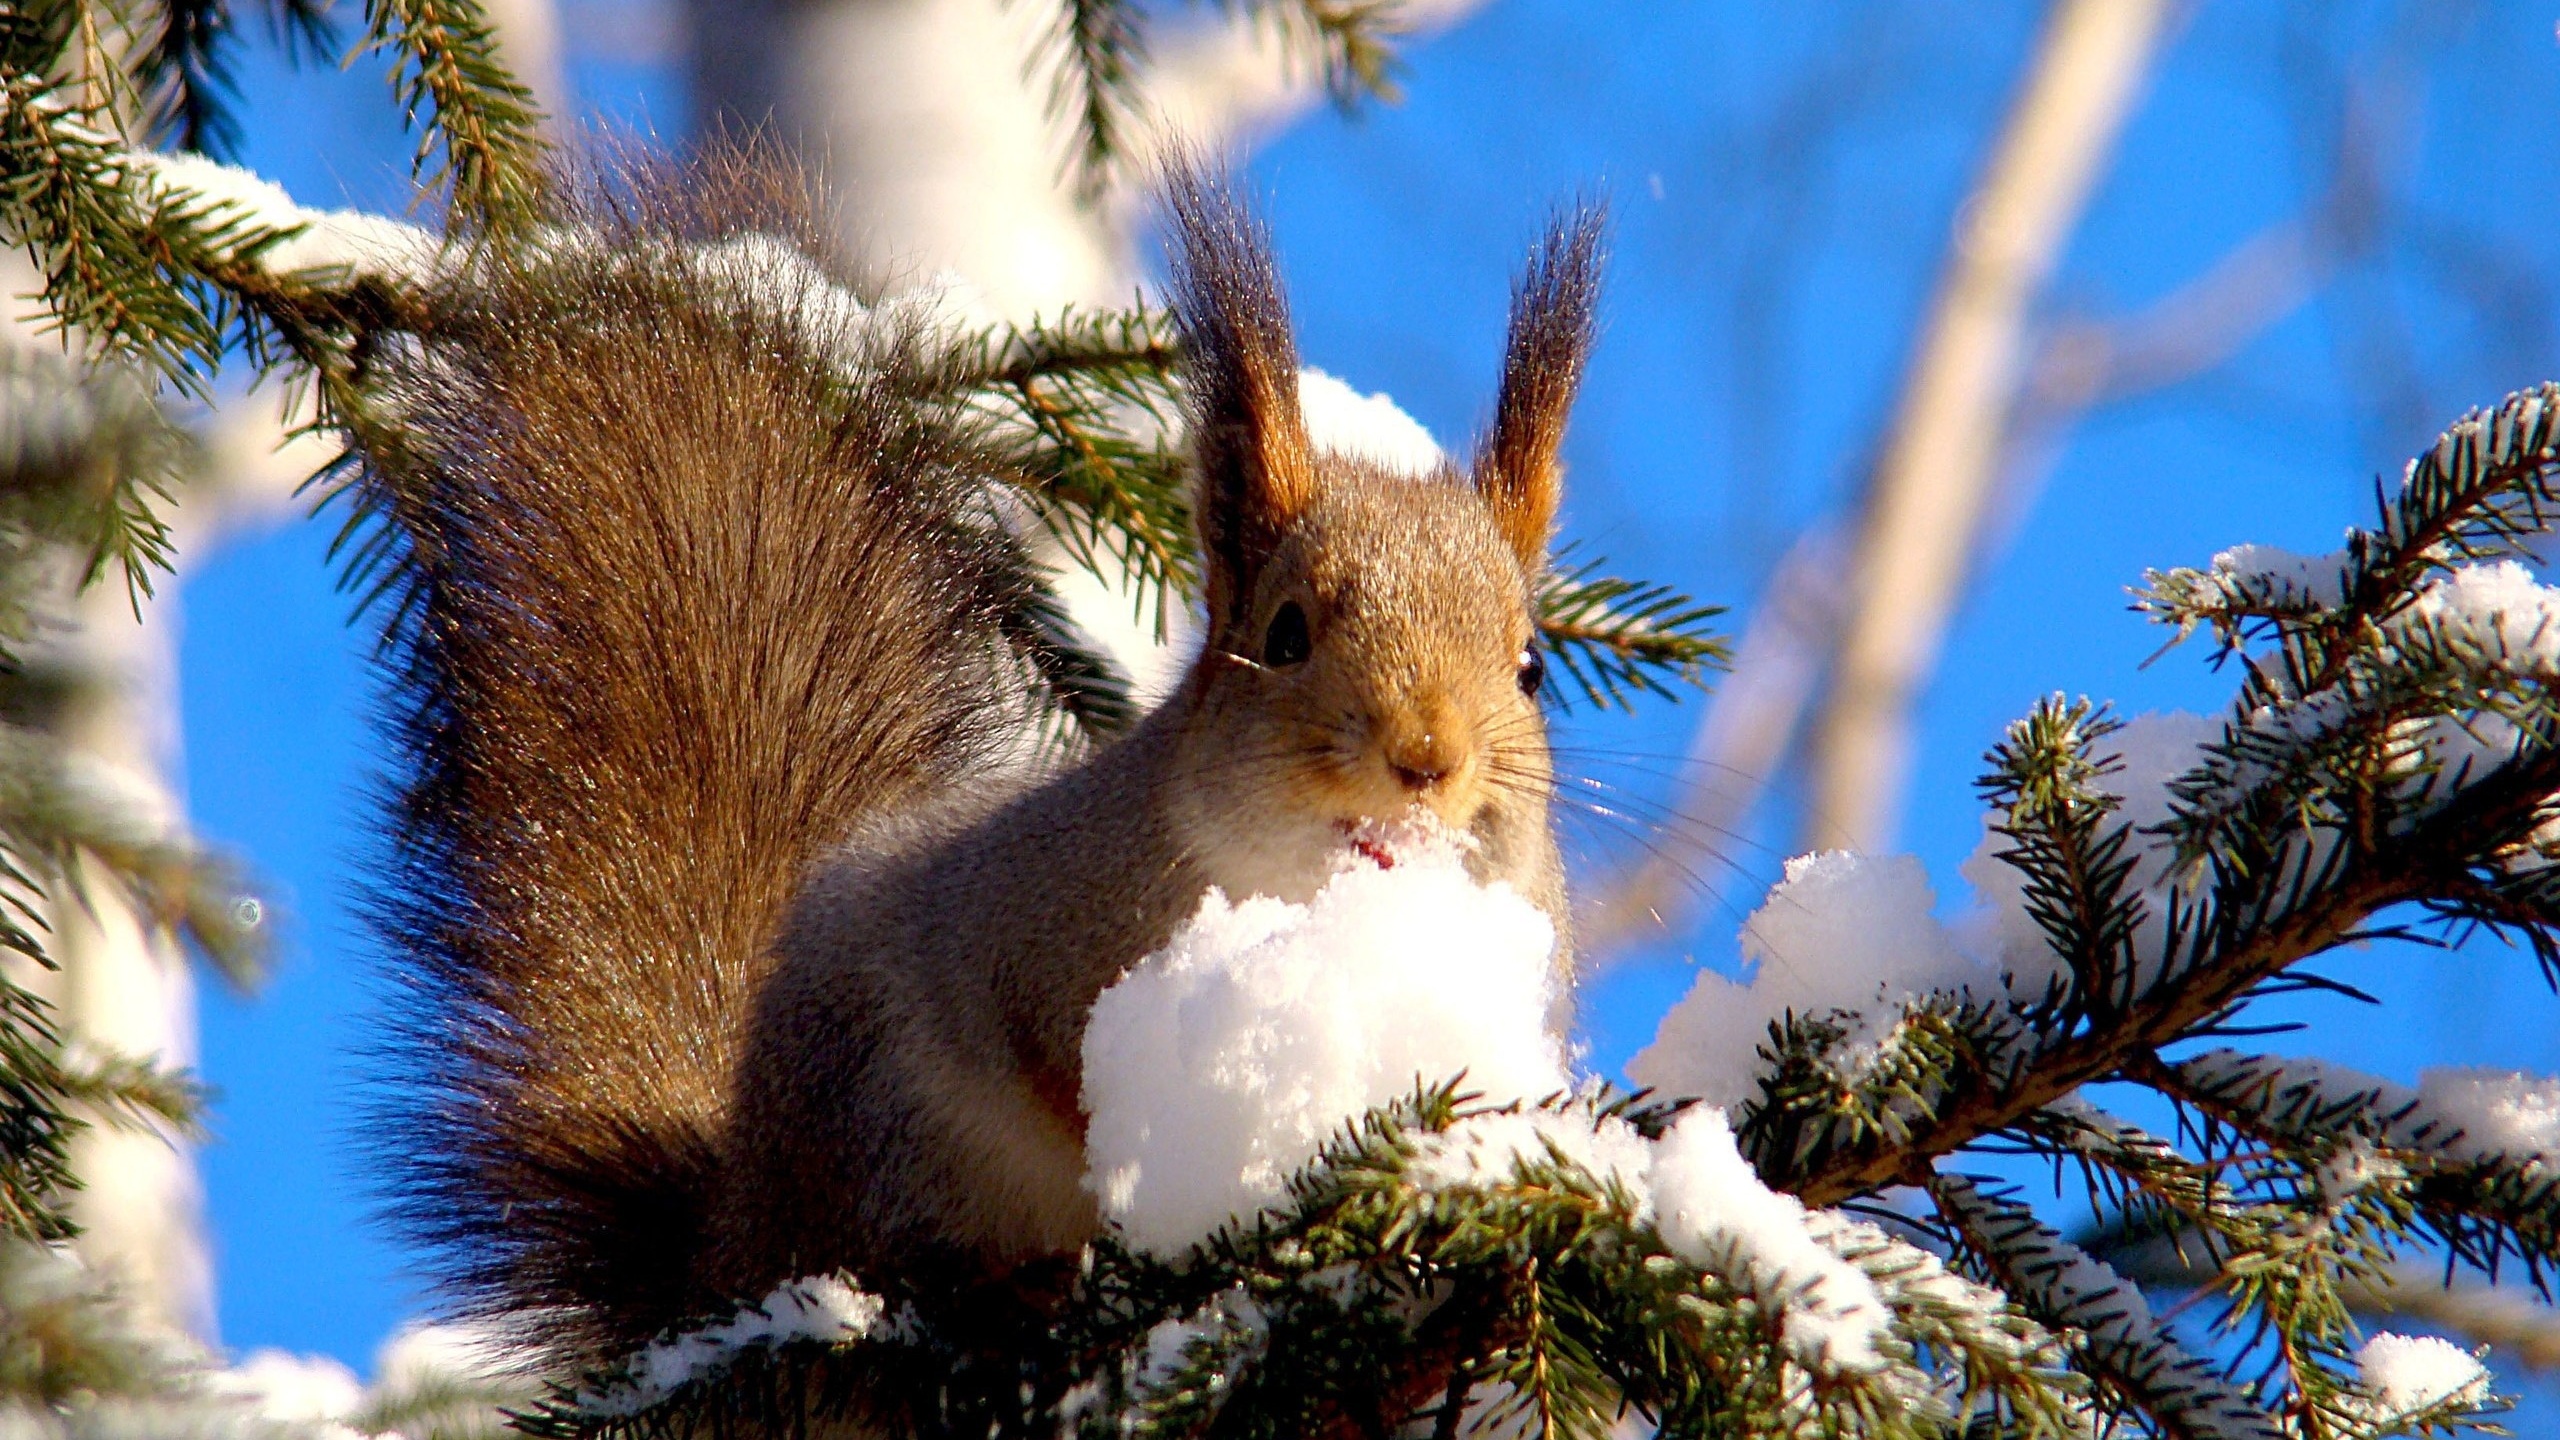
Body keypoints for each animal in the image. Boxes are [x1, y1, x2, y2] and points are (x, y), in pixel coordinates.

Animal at [360, 148, 1597, 1363]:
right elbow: (1060, 1081)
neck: (1315, 893)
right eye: (1284, 635)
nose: (1425, 757)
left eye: (1530, 667)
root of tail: (732, 1235)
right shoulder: (1029, 939)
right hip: (885, 1134)